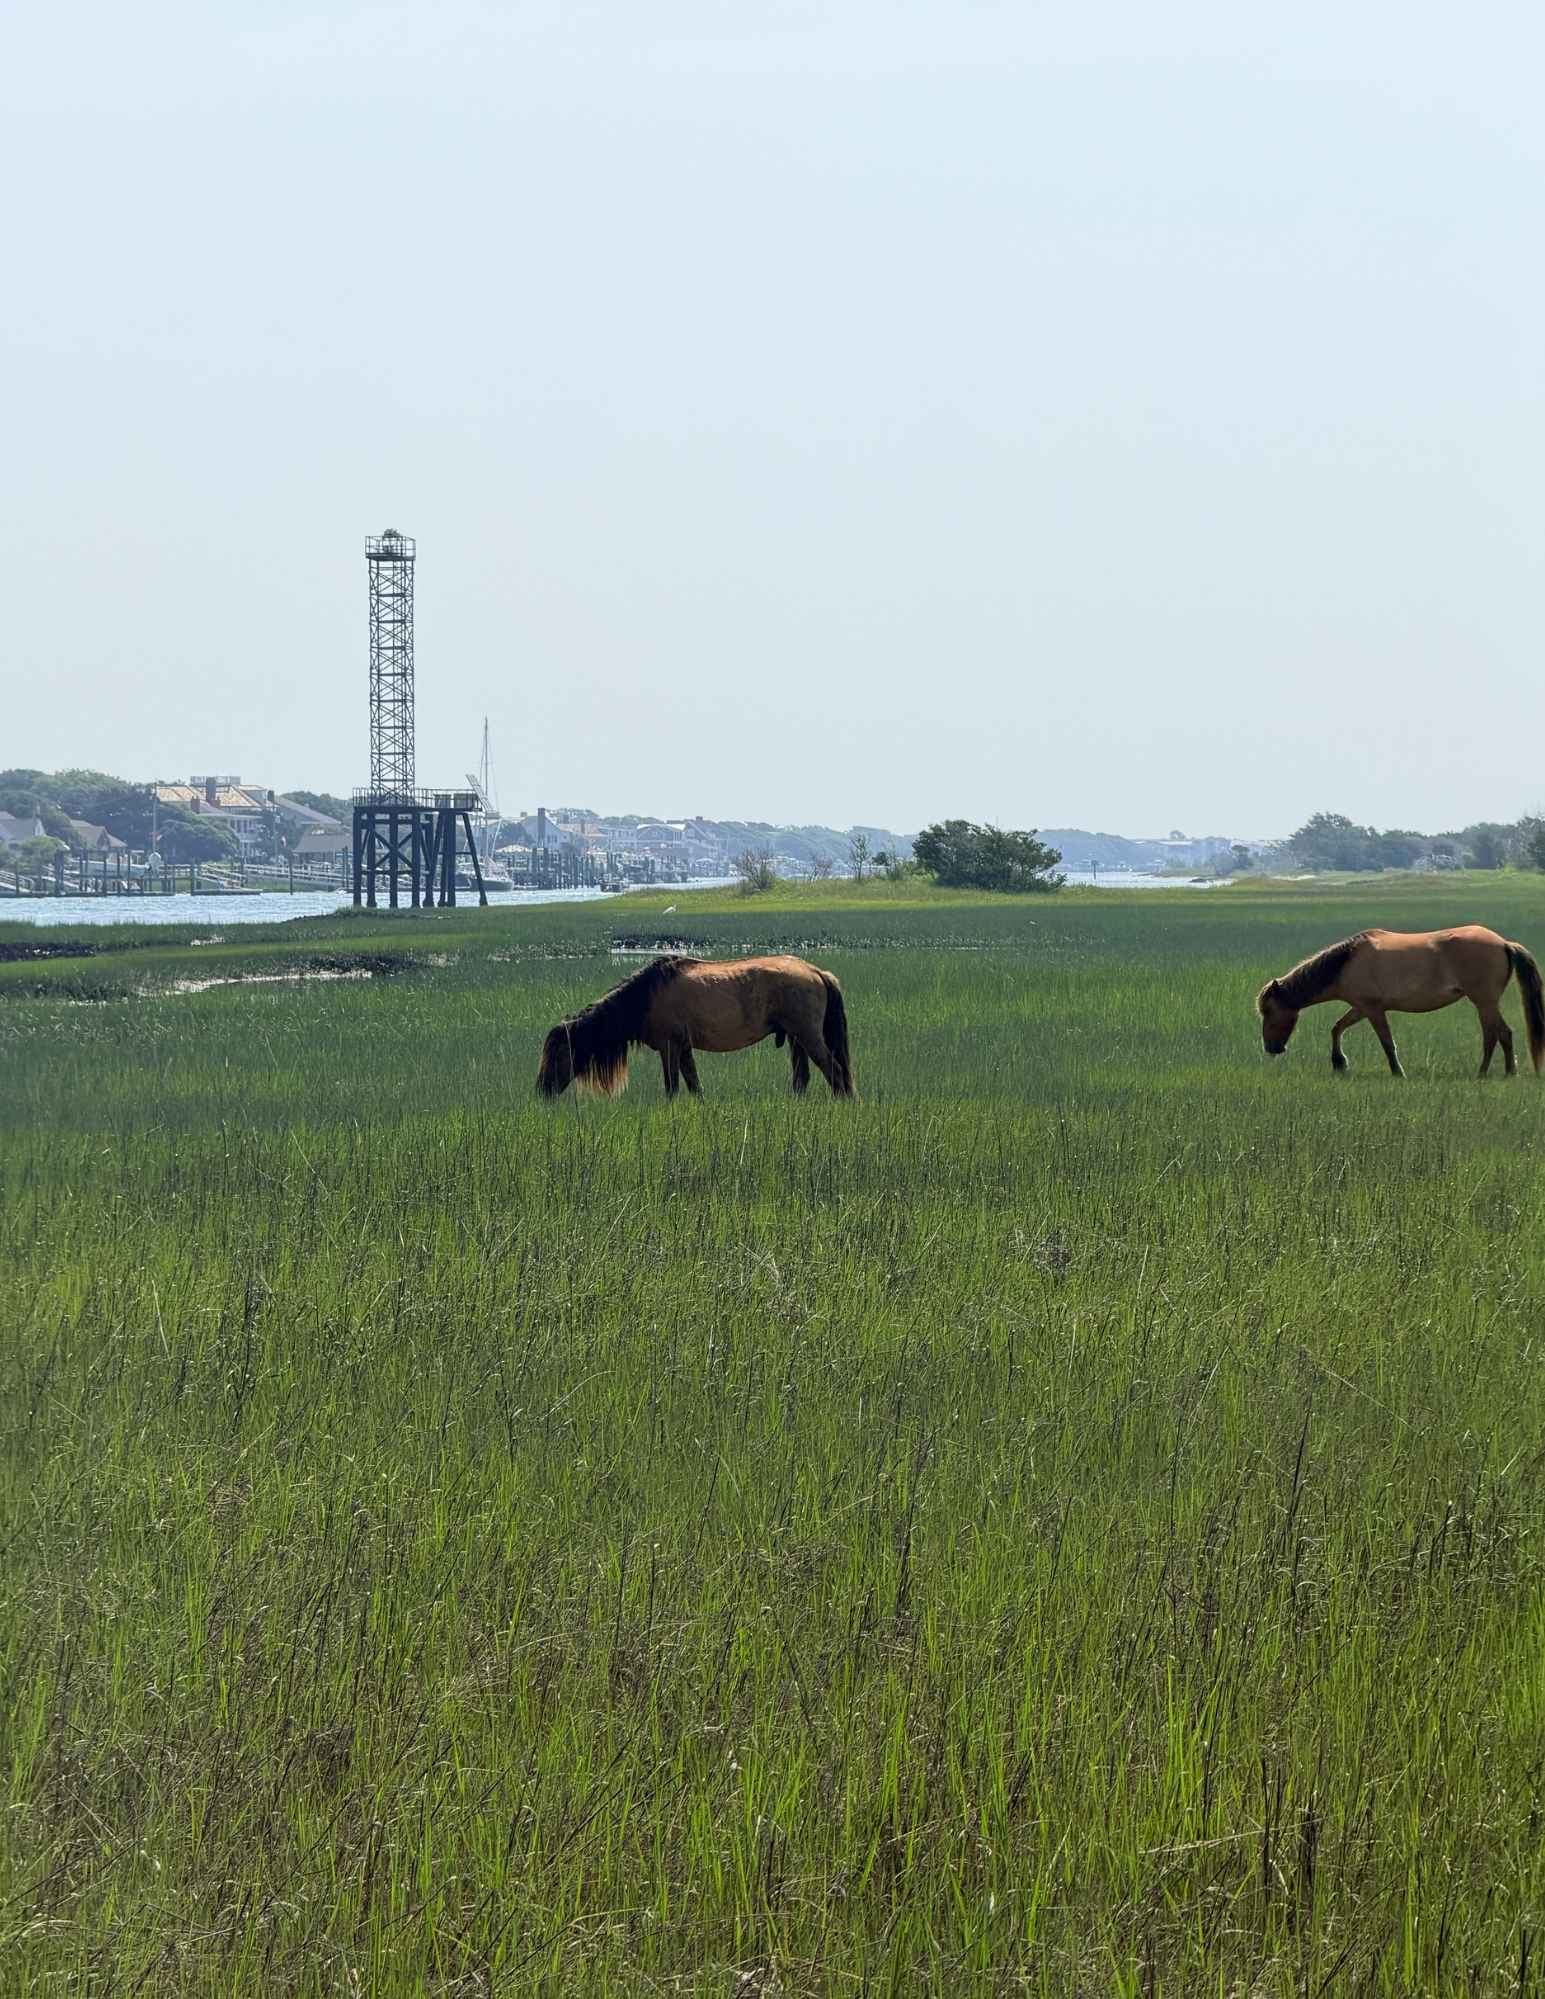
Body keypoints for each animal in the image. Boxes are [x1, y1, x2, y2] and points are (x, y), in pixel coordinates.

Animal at [537, 953, 857, 1100]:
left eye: (559, 1054)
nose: (542, 1090)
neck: (646, 996)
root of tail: (816, 971)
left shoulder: (669, 1047)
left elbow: (672, 1088)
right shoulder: (683, 1048)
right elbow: (694, 1085)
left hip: (808, 1035)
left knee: (834, 1070)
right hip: (795, 1037)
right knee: (802, 1077)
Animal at [1256, 925, 1545, 1078]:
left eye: (1269, 1011)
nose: (1272, 1048)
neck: (1347, 962)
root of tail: (1504, 943)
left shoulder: (1373, 1009)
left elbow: (1387, 1043)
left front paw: (1397, 1072)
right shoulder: (1361, 1007)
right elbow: (1337, 1028)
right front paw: (1339, 1063)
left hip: (1484, 1002)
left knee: (1497, 1035)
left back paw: (1490, 1073)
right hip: (1486, 1003)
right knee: (1501, 1034)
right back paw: (1503, 1072)